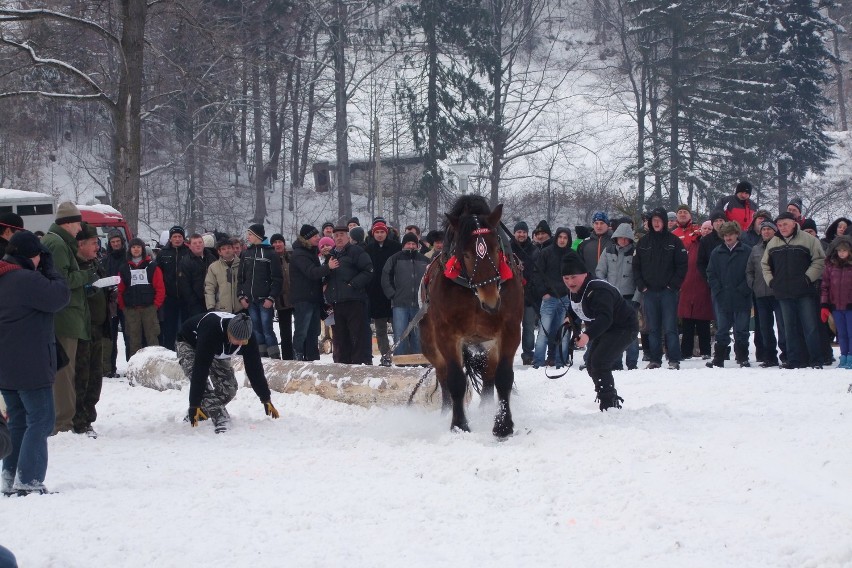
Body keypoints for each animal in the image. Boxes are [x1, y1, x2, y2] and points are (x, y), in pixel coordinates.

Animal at [416, 193, 524, 438]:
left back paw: (486, 410)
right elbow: (456, 380)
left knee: (488, 375)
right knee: (442, 374)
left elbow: (504, 377)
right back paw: (446, 413)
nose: (491, 300)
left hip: (488, 342)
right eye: (465, 254)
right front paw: (459, 424)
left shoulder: (510, 329)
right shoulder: (447, 334)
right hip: (430, 342)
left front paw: (503, 425)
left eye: (494, 248)